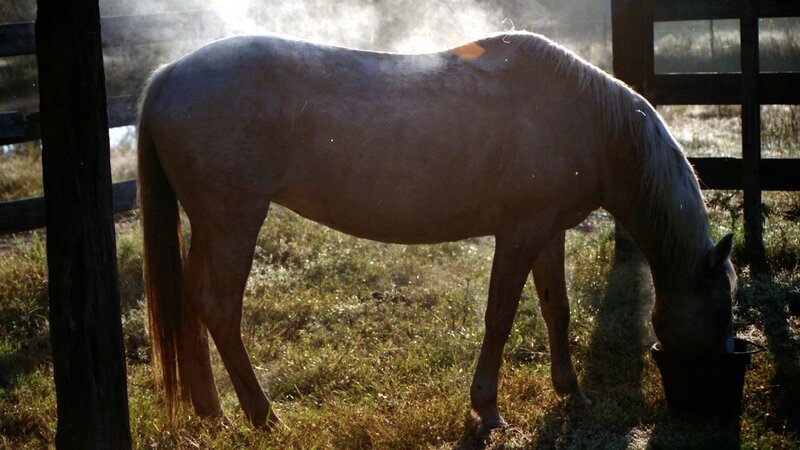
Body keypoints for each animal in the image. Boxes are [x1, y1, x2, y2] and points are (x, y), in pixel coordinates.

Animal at [137, 31, 737, 430]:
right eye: (720, 308)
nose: (713, 391)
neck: (590, 122)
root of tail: (167, 75)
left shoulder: (548, 233)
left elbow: (557, 311)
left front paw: (571, 392)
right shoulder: (519, 235)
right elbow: (499, 317)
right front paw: (487, 407)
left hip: (208, 226)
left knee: (190, 307)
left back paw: (212, 414)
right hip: (234, 222)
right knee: (219, 309)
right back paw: (263, 417)